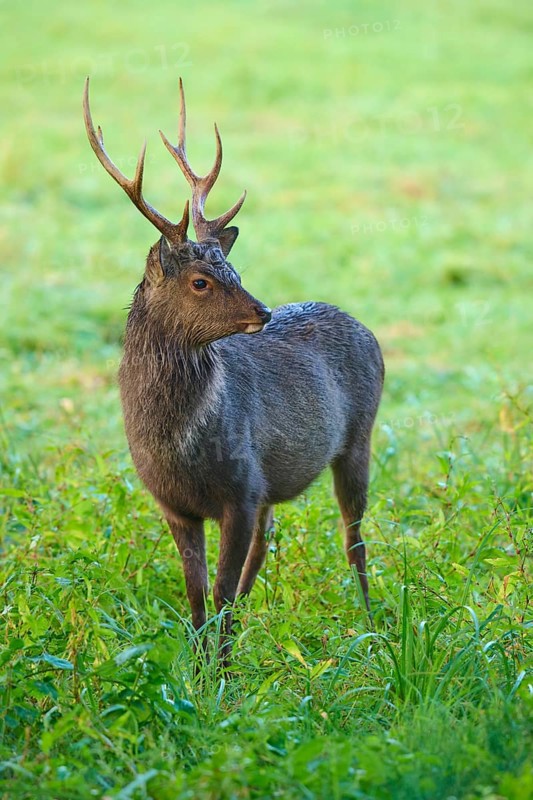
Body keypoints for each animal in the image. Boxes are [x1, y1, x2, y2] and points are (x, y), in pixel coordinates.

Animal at [83, 78, 384, 664]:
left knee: (353, 537)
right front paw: (202, 666)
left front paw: (220, 673)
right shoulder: (176, 503)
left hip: (358, 436)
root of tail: (364, 327)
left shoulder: (240, 488)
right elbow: (197, 593)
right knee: (267, 542)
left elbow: (218, 590)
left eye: (235, 270)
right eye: (201, 280)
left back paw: (370, 626)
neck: (176, 444)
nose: (263, 311)